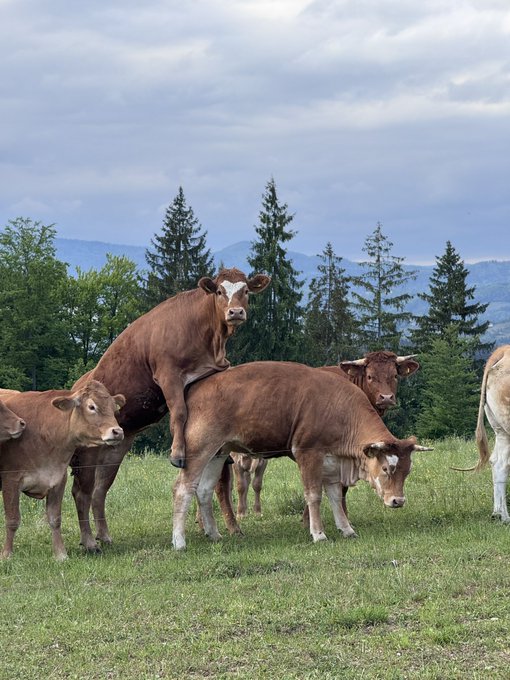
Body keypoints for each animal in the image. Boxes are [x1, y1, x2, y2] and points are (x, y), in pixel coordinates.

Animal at [0, 380, 125, 560]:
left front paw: (60, 554)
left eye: (113, 408)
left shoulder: (58, 478)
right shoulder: (11, 479)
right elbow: (12, 519)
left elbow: (55, 519)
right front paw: (7, 555)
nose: (118, 431)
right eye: (91, 406)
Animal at [70, 268, 271, 552]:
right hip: (86, 455)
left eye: (246, 291)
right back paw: (89, 542)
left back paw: (104, 536)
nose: (235, 312)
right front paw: (177, 451)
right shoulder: (168, 374)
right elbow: (180, 412)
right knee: (81, 492)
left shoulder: (209, 372)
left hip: (113, 452)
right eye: (220, 291)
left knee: (99, 491)